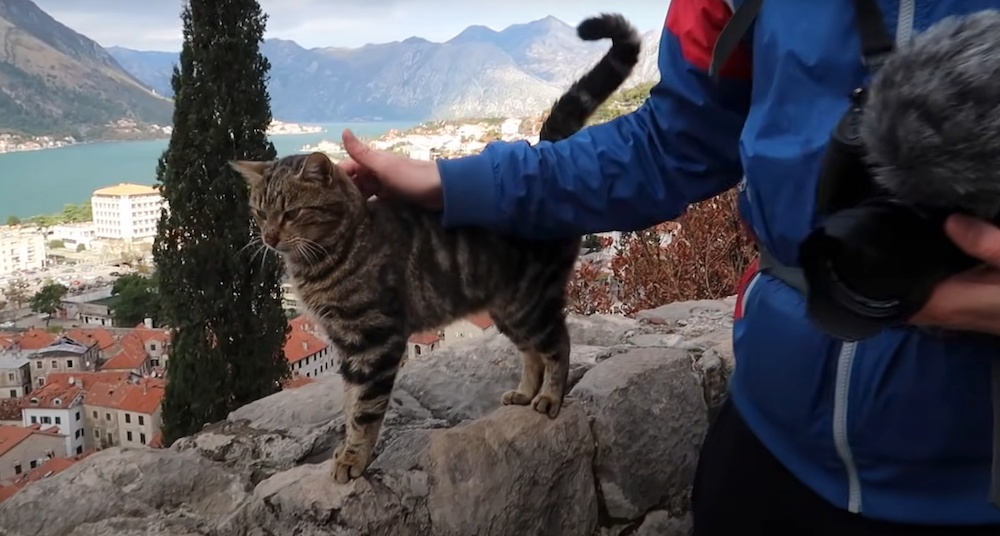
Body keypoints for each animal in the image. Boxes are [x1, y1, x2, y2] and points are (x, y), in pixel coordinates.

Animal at [229, 12, 640, 484]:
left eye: (292, 213)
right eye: (258, 213)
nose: (269, 237)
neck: (327, 257)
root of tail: (544, 158)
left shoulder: (375, 339)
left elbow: (365, 409)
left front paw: (354, 458)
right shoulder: (347, 347)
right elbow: (350, 402)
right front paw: (345, 449)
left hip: (531, 302)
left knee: (558, 343)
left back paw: (550, 398)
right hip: (508, 308)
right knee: (531, 352)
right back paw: (523, 392)